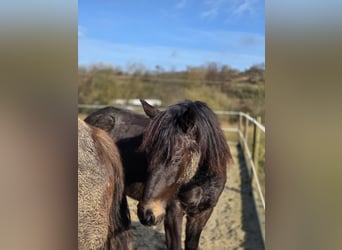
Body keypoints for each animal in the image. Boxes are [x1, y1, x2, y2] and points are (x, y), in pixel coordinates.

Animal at [85, 101, 232, 250]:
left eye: (177, 158)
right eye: (148, 154)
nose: (146, 214)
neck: (201, 182)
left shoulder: (203, 213)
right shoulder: (173, 211)